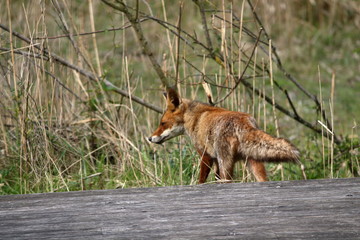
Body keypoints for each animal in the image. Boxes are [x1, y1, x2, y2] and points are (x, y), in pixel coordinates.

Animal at [148, 88, 300, 184]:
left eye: (162, 123)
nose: (149, 138)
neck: (195, 118)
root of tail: (245, 121)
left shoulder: (205, 155)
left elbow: (201, 180)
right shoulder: (215, 160)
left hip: (226, 164)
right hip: (252, 161)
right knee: (263, 180)